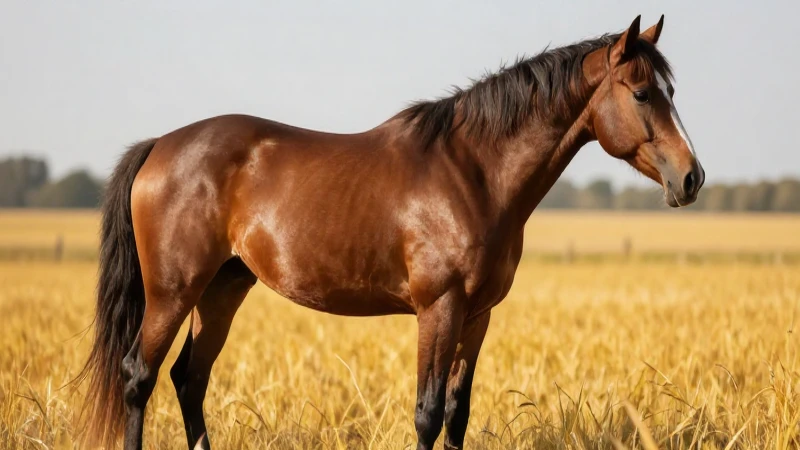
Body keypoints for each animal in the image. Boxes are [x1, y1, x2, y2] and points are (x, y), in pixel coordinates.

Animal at [79, 15, 703, 450]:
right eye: (642, 93)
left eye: (673, 93)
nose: (692, 177)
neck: (474, 173)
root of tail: (161, 144)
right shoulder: (439, 309)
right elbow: (426, 413)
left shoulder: (477, 316)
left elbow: (456, 414)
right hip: (173, 292)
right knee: (139, 377)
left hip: (223, 287)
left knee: (190, 378)